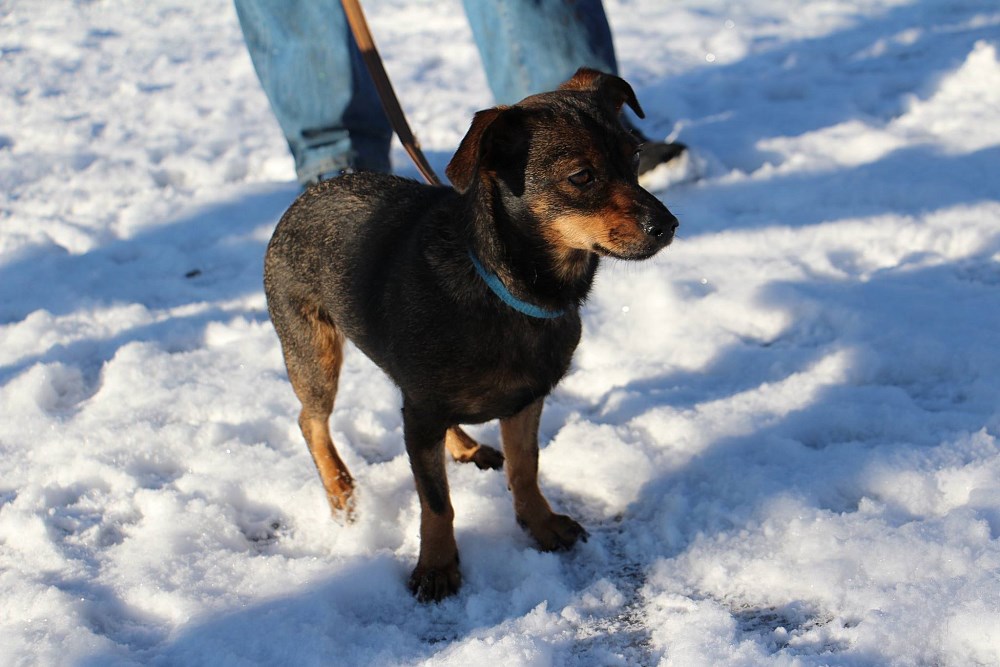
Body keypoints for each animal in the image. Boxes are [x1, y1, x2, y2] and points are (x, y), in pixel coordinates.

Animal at [263, 68, 678, 601]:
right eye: (581, 177)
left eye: (635, 155)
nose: (668, 224)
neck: (501, 286)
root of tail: (304, 198)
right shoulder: (422, 410)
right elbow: (436, 501)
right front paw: (437, 566)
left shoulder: (524, 401)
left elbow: (525, 468)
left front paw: (540, 523)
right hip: (313, 354)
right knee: (310, 421)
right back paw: (341, 493)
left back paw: (462, 445)